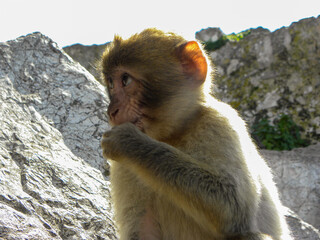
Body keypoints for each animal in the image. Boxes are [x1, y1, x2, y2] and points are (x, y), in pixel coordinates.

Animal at [100, 28, 292, 240]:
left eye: (125, 80)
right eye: (111, 83)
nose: (112, 111)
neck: (172, 135)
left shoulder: (220, 123)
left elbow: (234, 207)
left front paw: (131, 142)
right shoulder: (123, 167)